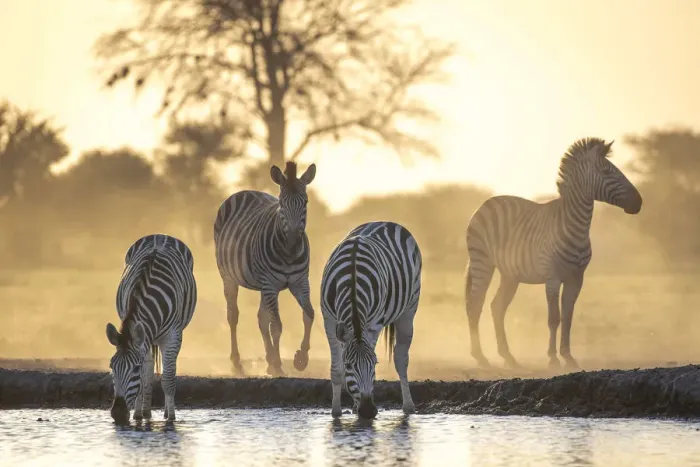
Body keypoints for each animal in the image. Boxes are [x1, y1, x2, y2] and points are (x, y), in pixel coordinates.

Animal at [106, 234, 197, 424]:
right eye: (111, 366)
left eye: (134, 368)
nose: (118, 414)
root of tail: (160, 235)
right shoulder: (141, 336)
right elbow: (145, 377)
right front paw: (138, 415)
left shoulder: (173, 335)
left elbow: (168, 378)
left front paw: (171, 418)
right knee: (149, 370)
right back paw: (145, 412)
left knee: (168, 369)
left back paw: (164, 412)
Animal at [214, 161, 316, 377]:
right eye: (281, 203)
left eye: (305, 202)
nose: (293, 243)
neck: (288, 254)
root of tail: (246, 191)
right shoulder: (270, 283)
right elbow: (276, 325)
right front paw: (278, 364)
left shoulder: (300, 281)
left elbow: (309, 314)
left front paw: (301, 358)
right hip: (229, 276)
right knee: (233, 316)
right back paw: (237, 363)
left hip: (264, 286)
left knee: (261, 318)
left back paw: (268, 360)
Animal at [321, 221, 422, 419]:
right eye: (349, 365)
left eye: (374, 364)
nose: (368, 411)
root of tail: (386, 222)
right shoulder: (328, 320)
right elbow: (336, 369)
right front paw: (336, 411)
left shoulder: (374, 323)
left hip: (409, 308)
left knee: (401, 359)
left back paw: (408, 407)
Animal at [465, 137, 642, 370]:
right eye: (606, 171)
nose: (639, 202)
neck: (575, 226)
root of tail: (487, 202)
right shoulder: (553, 277)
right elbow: (553, 318)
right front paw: (553, 359)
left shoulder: (576, 278)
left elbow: (567, 317)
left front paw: (568, 357)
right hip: (482, 260)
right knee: (475, 303)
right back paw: (480, 357)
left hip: (510, 273)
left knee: (497, 307)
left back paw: (508, 357)